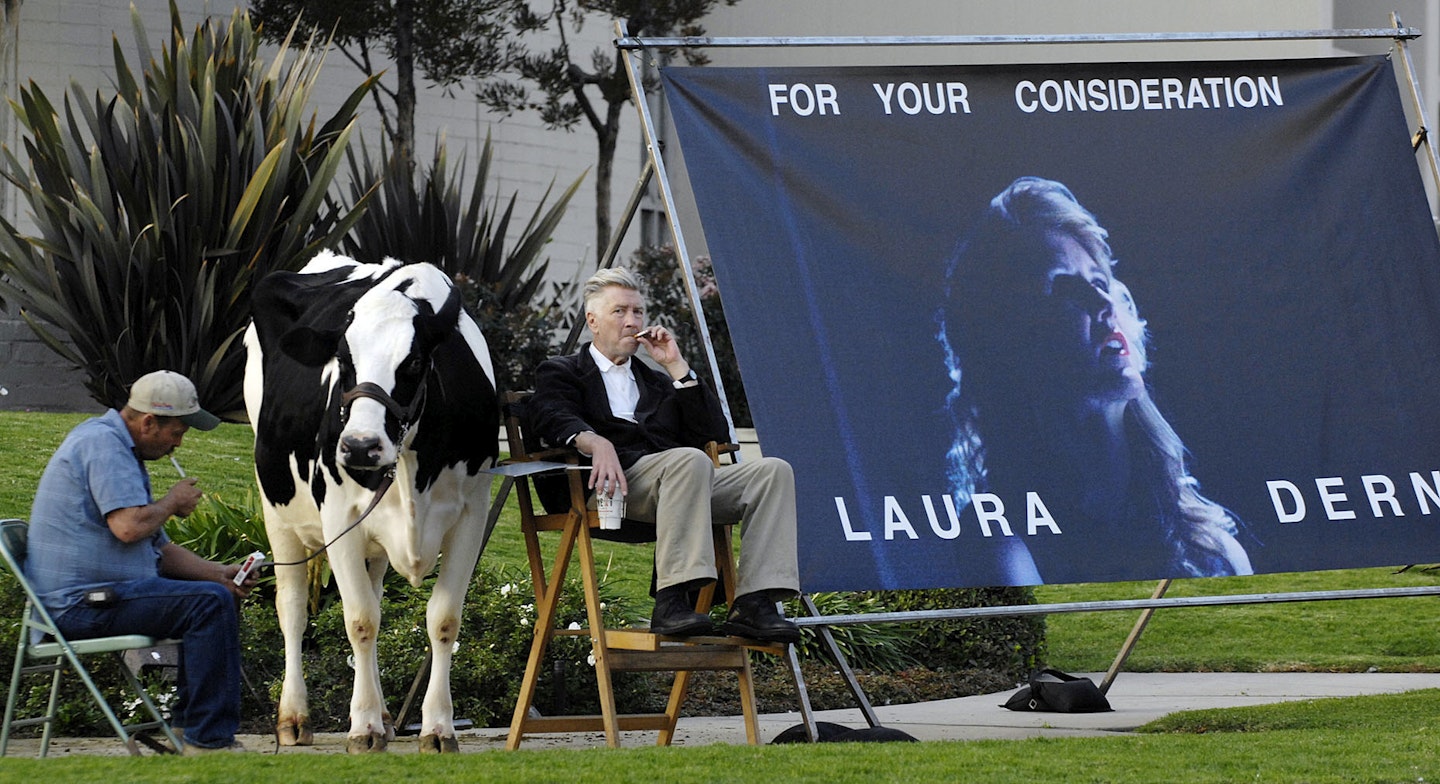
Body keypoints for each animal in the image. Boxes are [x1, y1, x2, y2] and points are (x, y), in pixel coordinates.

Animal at [244, 252, 498, 755]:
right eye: (343, 360)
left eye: (414, 362)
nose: (360, 446)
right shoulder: (338, 517)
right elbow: (360, 620)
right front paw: (362, 727)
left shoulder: (471, 516)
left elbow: (444, 620)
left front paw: (438, 727)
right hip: (276, 509)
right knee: (292, 609)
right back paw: (295, 717)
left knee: (376, 593)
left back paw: (382, 713)